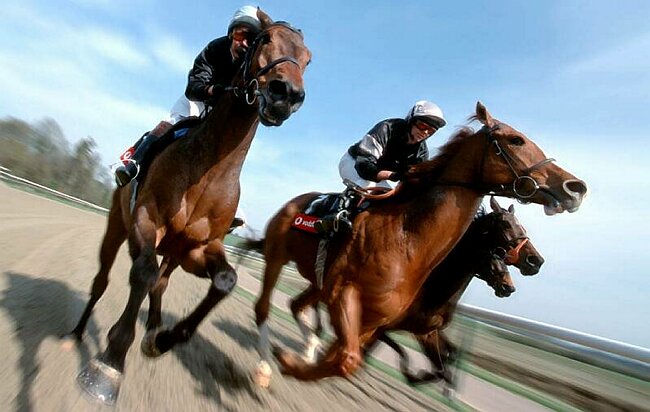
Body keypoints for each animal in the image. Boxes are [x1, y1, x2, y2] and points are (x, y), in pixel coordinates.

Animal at [64, 9, 312, 405]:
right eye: (265, 39)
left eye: (307, 59)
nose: (285, 95)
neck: (209, 171)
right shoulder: (147, 220)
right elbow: (144, 272)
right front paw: (109, 364)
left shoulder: (198, 247)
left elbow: (225, 281)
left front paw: (164, 338)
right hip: (117, 225)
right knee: (103, 281)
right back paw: (77, 333)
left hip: (175, 252)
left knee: (162, 284)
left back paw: (153, 329)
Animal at [252, 102, 586, 383]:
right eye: (516, 140)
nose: (576, 187)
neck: (406, 241)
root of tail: (297, 201)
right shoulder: (344, 294)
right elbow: (347, 358)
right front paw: (289, 361)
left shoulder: (375, 321)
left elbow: (347, 360)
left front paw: (299, 362)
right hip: (277, 257)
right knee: (263, 307)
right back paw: (266, 365)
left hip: (316, 282)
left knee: (297, 306)